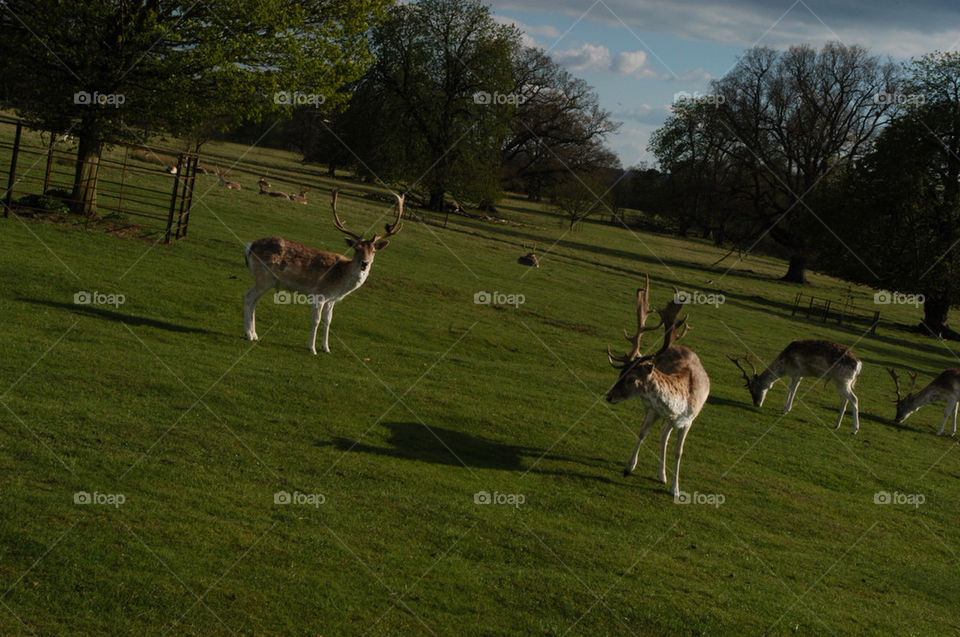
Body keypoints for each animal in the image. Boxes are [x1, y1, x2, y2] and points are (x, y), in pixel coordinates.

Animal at [246, 186, 404, 356]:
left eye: (374, 250)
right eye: (356, 248)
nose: (364, 263)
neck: (341, 281)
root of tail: (250, 246)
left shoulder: (331, 299)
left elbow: (328, 321)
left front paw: (327, 348)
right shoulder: (319, 293)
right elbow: (316, 320)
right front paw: (312, 348)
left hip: (266, 280)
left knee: (253, 300)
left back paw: (254, 334)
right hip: (264, 276)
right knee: (248, 297)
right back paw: (248, 334)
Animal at [604, 274, 708, 496]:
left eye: (631, 378)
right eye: (620, 373)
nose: (609, 396)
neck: (678, 406)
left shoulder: (688, 421)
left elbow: (679, 451)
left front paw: (676, 489)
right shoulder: (653, 409)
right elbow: (642, 432)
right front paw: (628, 467)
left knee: (663, 436)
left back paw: (662, 476)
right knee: (659, 434)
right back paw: (660, 474)